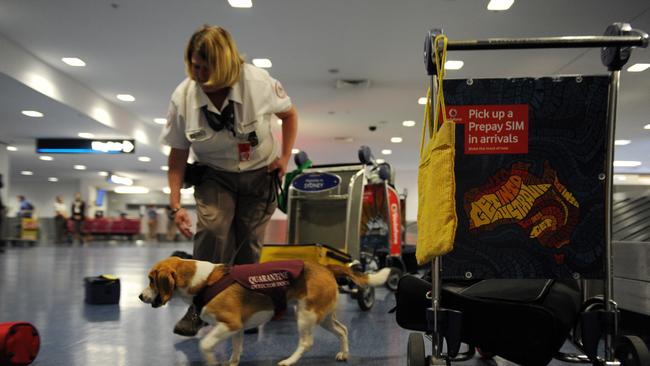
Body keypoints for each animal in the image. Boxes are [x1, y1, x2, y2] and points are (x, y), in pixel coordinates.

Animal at [139, 256, 388, 364]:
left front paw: (210, 360)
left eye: (151, 280)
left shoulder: (229, 323)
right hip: (323, 316)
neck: (204, 281)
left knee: (307, 343)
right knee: (343, 330)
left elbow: (205, 344)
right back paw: (344, 353)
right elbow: (236, 349)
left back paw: (289, 361)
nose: (141, 296)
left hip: (305, 316)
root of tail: (325, 266)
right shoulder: (237, 328)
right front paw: (232, 362)